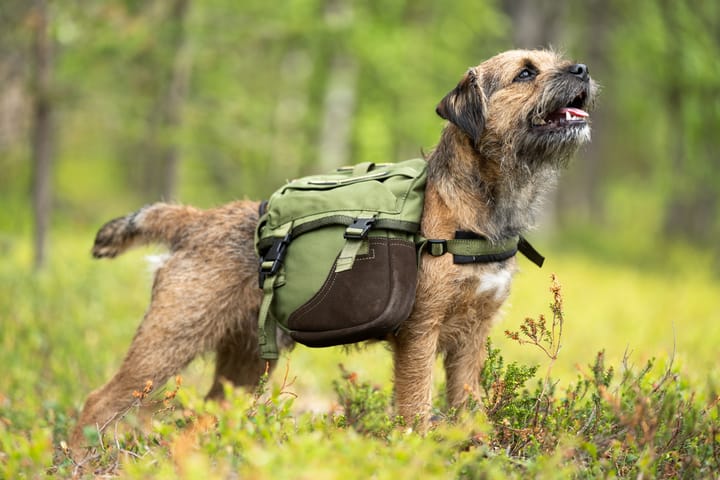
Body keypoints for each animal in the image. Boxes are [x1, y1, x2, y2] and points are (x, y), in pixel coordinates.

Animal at [69, 48, 596, 458]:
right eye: (525, 73)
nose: (583, 69)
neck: (480, 205)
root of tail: (196, 220)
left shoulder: (471, 339)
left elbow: (470, 409)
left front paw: (477, 455)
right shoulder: (421, 334)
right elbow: (416, 408)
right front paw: (418, 455)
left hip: (247, 360)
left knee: (212, 409)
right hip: (169, 340)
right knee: (98, 402)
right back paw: (79, 458)